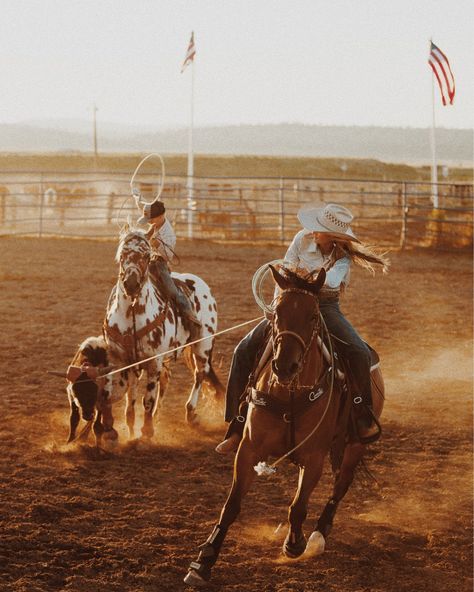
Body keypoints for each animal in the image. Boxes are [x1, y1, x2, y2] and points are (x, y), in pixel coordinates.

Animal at [99, 224, 224, 442]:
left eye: (146, 255)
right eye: (122, 255)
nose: (131, 284)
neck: (131, 313)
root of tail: (202, 284)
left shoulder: (154, 361)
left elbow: (146, 399)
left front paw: (146, 432)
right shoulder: (125, 361)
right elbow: (130, 399)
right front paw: (130, 430)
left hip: (203, 345)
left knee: (200, 374)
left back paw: (190, 412)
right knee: (167, 378)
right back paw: (159, 415)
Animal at [183, 266, 384, 584]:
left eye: (313, 316)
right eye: (277, 313)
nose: (284, 366)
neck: (288, 394)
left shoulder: (313, 457)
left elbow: (298, 506)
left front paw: (294, 543)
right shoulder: (249, 450)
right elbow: (231, 506)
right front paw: (204, 561)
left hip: (354, 446)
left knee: (340, 485)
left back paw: (318, 535)